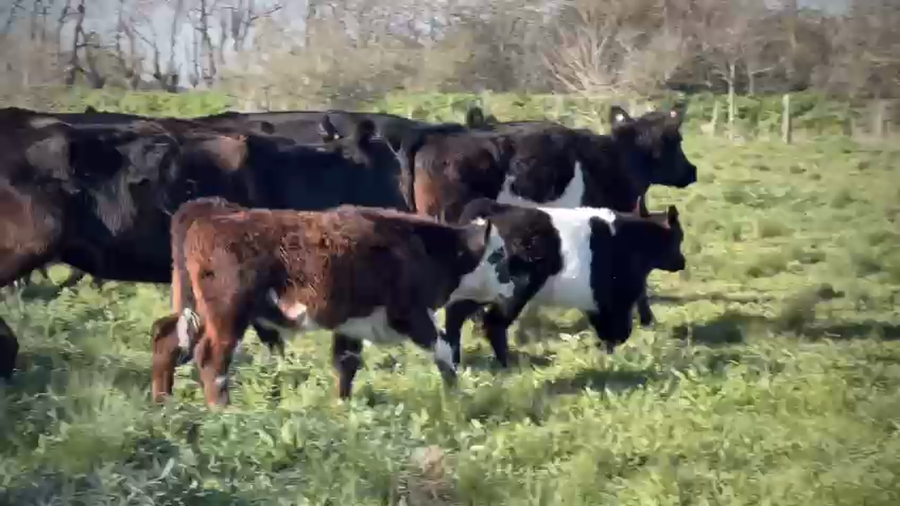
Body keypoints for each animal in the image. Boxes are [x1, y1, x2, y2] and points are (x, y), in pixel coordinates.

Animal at [149, 198, 515, 406]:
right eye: (498, 256)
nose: (512, 286)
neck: (418, 245)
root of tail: (209, 212)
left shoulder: (351, 325)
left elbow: (346, 364)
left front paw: (342, 406)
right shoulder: (410, 315)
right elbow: (443, 350)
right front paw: (457, 394)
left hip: (196, 312)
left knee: (166, 338)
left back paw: (163, 402)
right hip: (227, 317)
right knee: (211, 359)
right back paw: (222, 409)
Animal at [441, 198, 686, 368]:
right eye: (677, 238)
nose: (682, 262)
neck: (633, 241)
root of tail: (489, 212)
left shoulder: (596, 302)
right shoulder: (615, 300)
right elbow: (619, 331)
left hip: (475, 291)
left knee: (455, 319)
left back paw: (456, 360)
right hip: (513, 293)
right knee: (493, 324)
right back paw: (506, 363)